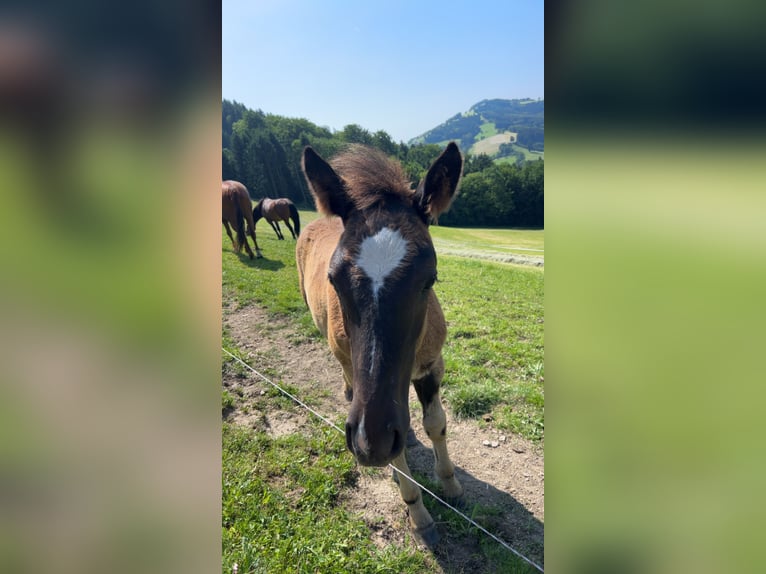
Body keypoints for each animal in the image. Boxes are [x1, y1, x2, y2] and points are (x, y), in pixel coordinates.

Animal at [296, 142, 464, 547]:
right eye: (333, 278)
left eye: (430, 277)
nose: (367, 443)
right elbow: (395, 452)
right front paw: (418, 514)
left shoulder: (432, 365)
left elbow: (436, 423)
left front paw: (450, 484)